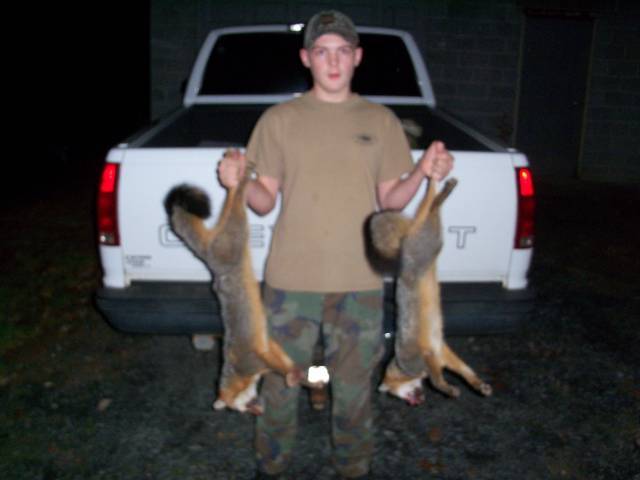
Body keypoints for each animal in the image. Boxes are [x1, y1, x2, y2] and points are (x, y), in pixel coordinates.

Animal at [164, 162, 310, 415]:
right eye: (242, 410)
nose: (257, 410)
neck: (239, 374)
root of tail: (209, 255)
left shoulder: (256, 360)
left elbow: (278, 366)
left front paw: (292, 374)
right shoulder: (267, 348)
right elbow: (280, 357)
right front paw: (295, 373)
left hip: (232, 240)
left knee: (235, 211)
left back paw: (241, 181)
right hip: (229, 239)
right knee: (228, 208)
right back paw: (235, 180)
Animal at [370, 177, 492, 405]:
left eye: (398, 395)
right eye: (405, 398)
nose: (416, 402)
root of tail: (404, 246)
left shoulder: (425, 357)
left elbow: (435, 380)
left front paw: (445, 387)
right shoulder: (443, 353)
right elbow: (465, 371)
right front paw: (478, 384)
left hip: (428, 241)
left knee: (432, 208)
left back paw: (443, 193)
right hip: (431, 239)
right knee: (428, 206)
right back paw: (437, 186)